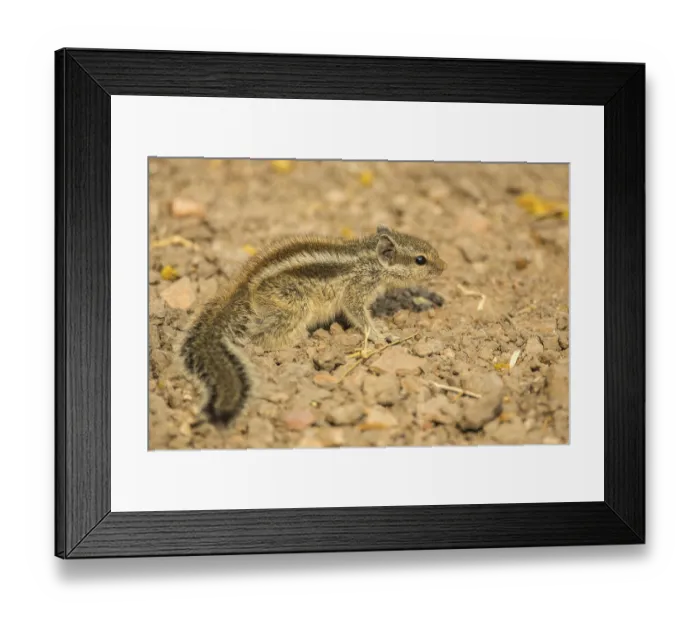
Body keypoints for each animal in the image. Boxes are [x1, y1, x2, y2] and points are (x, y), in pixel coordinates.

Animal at [181, 225, 447, 425]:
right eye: (420, 260)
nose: (444, 267)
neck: (369, 260)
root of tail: (244, 289)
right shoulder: (356, 291)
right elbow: (359, 315)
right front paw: (382, 335)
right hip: (296, 305)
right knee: (260, 337)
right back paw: (300, 340)